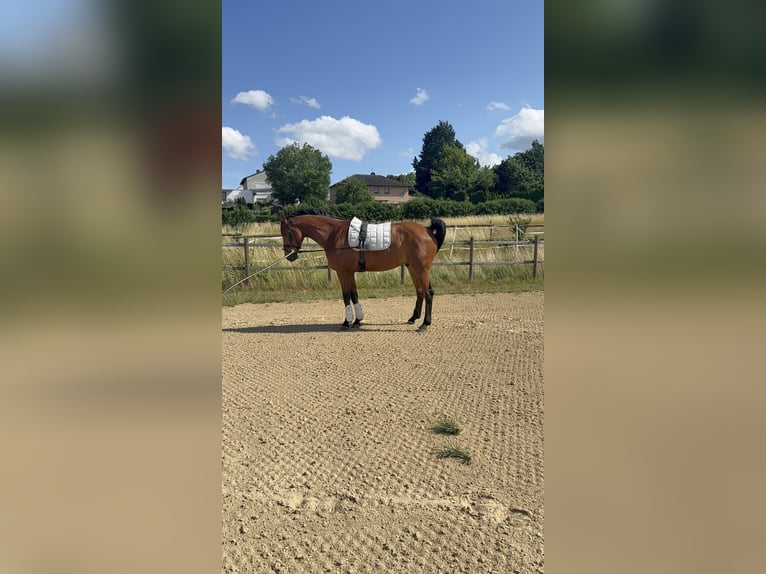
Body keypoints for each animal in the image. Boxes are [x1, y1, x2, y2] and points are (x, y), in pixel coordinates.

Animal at [279, 209, 447, 331]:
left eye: (286, 232)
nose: (289, 255)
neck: (334, 234)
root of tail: (427, 230)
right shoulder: (350, 272)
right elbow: (354, 295)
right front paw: (357, 320)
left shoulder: (343, 272)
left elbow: (346, 296)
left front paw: (346, 322)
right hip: (413, 269)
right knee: (420, 292)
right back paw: (413, 318)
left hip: (421, 270)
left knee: (428, 293)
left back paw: (425, 324)